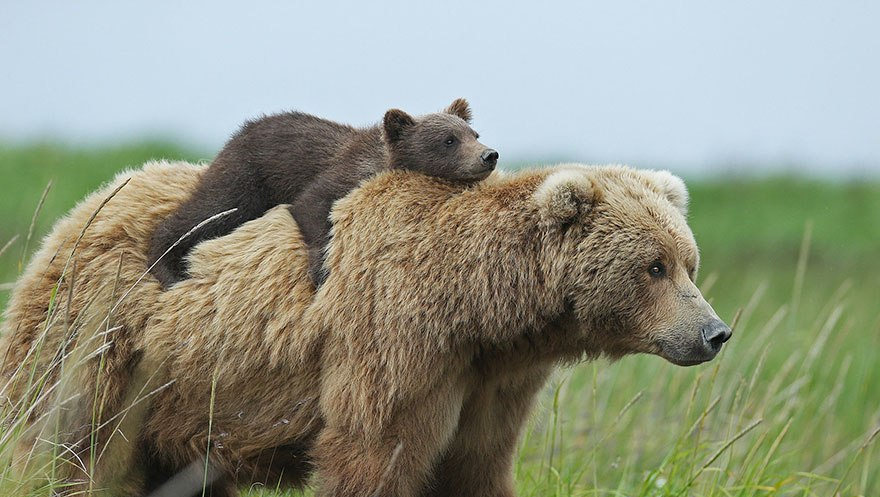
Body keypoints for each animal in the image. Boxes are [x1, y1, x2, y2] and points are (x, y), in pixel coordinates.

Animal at [0, 160, 730, 497]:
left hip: (178, 398)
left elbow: (474, 464)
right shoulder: (395, 341)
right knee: (65, 445)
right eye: (654, 265)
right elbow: (373, 453)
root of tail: (84, 206)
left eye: (689, 261)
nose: (714, 332)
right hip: (99, 339)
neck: (479, 310)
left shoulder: (490, 382)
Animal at [146, 98, 498, 289]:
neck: (380, 161)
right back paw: (166, 266)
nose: (489, 155)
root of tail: (238, 132)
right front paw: (321, 269)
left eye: (474, 133)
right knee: (209, 211)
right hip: (247, 176)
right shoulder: (339, 175)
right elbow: (312, 206)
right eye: (449, 140)